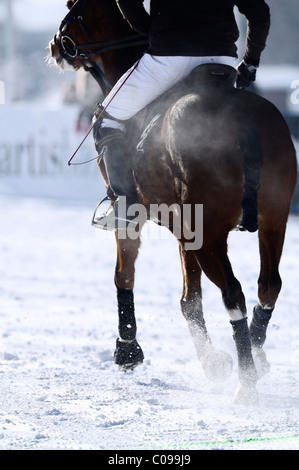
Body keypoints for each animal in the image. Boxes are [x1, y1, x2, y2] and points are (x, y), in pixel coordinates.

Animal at [49, 0, 298, 404]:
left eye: (74, 8)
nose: (55, 46)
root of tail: (242, 122)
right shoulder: (184, 230)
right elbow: (189, 298)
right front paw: (214, 361)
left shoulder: (136, 216)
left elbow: (125, 274)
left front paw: (128, 350)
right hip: (273, 218)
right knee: (268, 286)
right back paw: (257, 360)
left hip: (211, 233)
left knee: (234, 293)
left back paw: (246, 384)